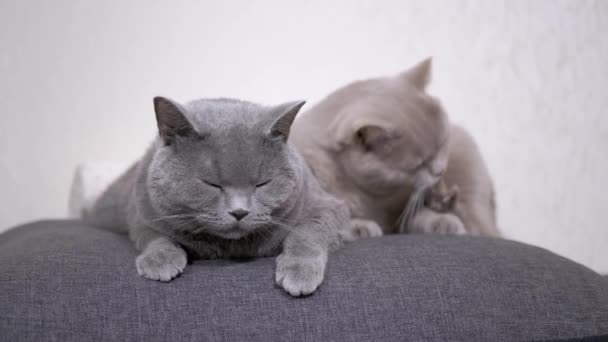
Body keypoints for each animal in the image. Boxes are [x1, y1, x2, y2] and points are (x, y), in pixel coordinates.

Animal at [87, 96, 350, 296]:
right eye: (211, 184)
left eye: (261, 184)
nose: (239, 211)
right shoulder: (143, 213)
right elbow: (154, 237)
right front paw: (160, 261)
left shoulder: (325, 206)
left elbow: (306, 233)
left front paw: (299, 272)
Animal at [290, 57, 498, 236]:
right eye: (420, 164)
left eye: (443, 143)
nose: (440, 171)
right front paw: (358, 227)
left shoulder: (401, 208)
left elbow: (419, 215)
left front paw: (443, 222)